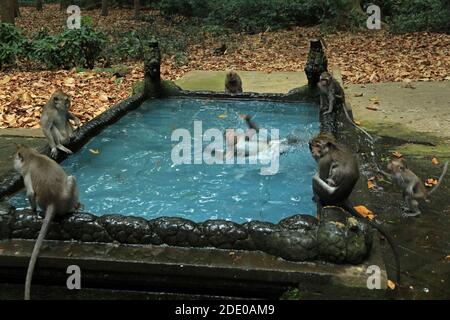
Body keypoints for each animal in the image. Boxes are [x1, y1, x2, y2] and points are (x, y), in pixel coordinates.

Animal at [13, 145, 81, 300]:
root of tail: (52, 202)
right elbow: (30, 193)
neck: (32, 155)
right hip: (68, 199)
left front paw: (32, 210)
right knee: (71, 179)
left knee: (70, 179)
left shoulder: (26, 174)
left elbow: (30, 193)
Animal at [310, 133, 400, 284]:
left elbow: (321, 174)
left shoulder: (324, 161)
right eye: (313, 143)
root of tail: (343, 198)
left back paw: (319, 199)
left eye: (318, 145)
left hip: (326, 193)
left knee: (316, 180)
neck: (330, 148)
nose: (312, 149)